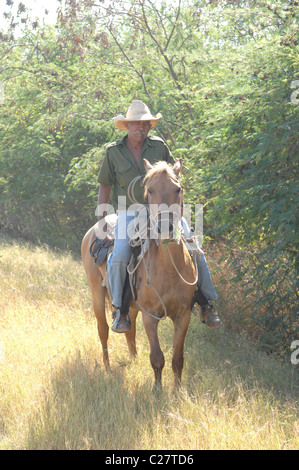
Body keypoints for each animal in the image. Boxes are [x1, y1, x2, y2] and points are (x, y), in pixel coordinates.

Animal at [82, 159, 198, 390]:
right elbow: (157, 357)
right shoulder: (150, 315)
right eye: (150, 190)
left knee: (130, 331)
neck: (168, 270)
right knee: (103, 329)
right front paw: (157, 391)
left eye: (178, 189)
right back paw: (107, 368)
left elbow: (177, 359)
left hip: (131, 306)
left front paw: (178, 391)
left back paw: (133, 359)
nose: (165, 228)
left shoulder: (183, 315)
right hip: (97, 292)